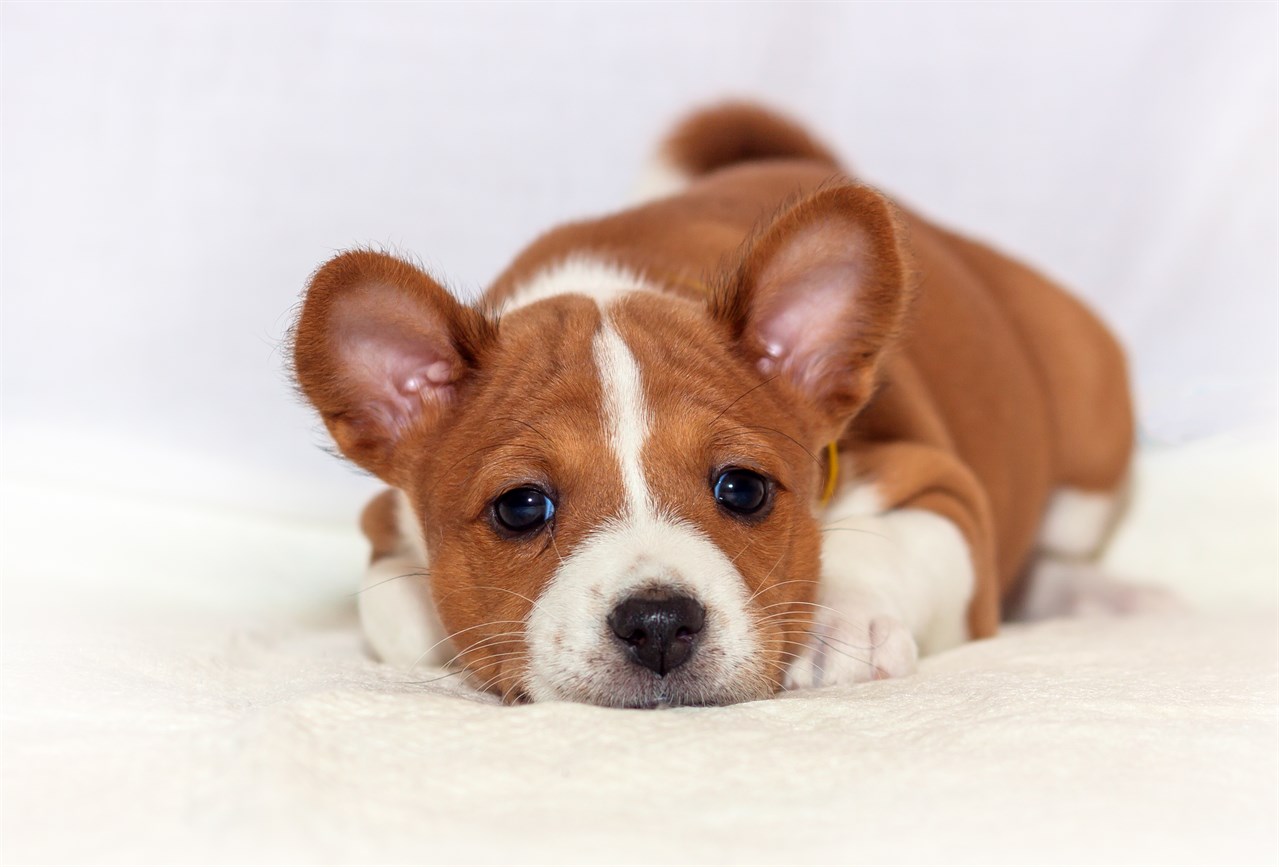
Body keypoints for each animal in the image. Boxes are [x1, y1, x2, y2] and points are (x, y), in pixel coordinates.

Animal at [290, 105, 1130, 710]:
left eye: (742, 488)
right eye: (521, 507)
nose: (659, 622)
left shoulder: (942, 492)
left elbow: (878, 545)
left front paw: (839, 618)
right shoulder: (386, 529)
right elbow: (401, 617)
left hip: (1084, 458)